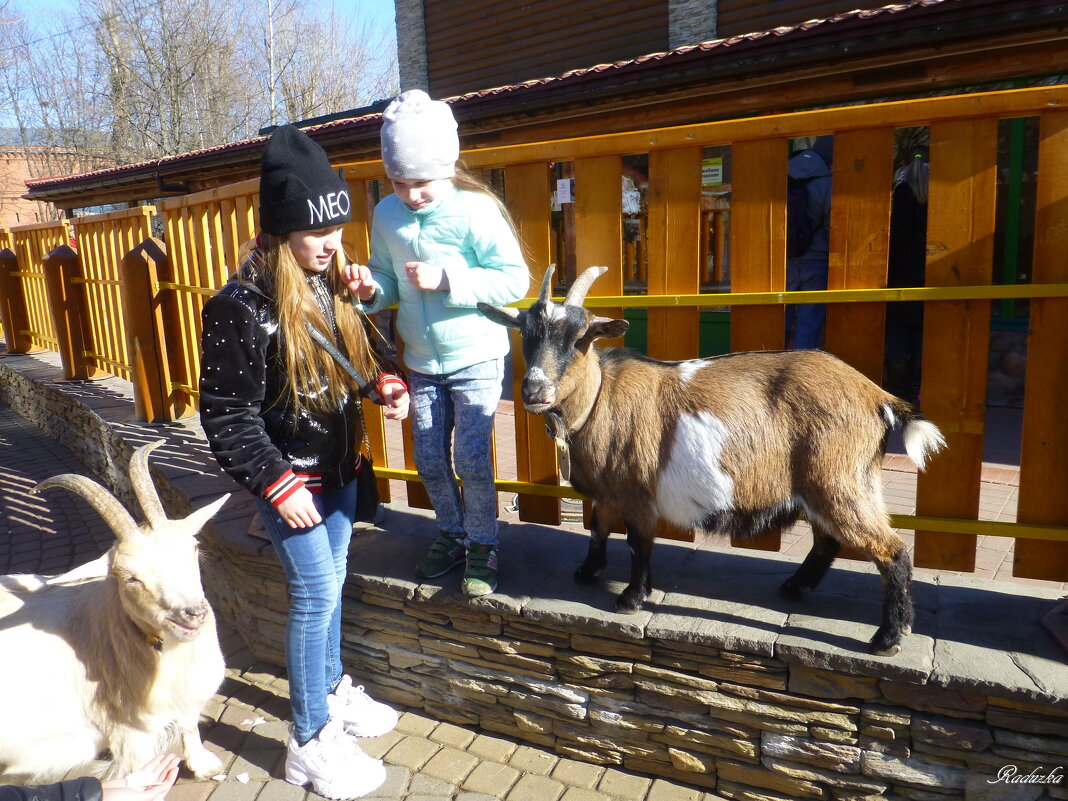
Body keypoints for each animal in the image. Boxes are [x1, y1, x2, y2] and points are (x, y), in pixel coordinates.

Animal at [0, 442, 229, 781]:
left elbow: (189, 725)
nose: (193, 614)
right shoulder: (129, 736)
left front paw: (204, 765)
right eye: (130, 577)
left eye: (194, 547)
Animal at [480, 267, 948, 653]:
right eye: (525, 333)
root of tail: (877, 396)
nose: (534, 390)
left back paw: (888, 637)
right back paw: (795, 588)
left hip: (840, 480)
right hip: (825, 485)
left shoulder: (636, 493)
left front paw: (630, 598)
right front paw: (588, 572)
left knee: (890, 549)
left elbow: (638, 543)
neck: (598, 400)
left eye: (581, 338)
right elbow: (597, 530)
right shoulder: (607, 493)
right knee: (827, 540)